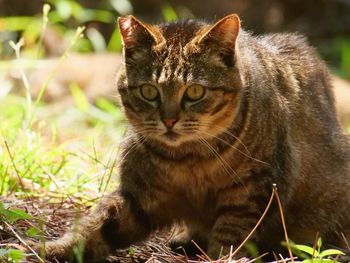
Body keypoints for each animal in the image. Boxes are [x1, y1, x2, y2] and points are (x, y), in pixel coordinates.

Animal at [34, 13, 350, 262]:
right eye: (149, 91)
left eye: (195, 91)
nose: (169, 120)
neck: (189, 160)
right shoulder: (138, 196)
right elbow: (94, 226)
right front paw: (53, 248)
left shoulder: (253, 193)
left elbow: (229, 240)